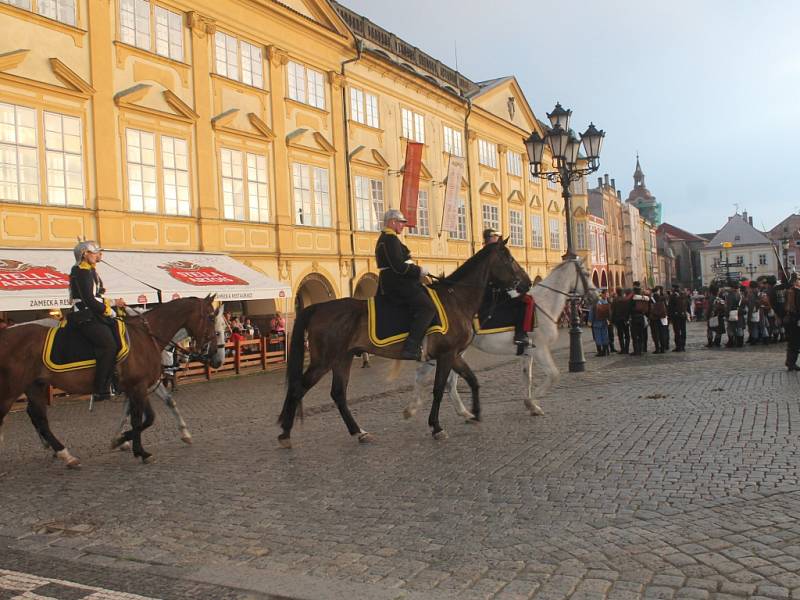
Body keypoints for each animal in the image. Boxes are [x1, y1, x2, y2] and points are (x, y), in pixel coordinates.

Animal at [0, 294, 219, 464]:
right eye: (211, 317)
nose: (214, 355)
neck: (146, 336)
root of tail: (6, 334)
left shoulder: (138, 387)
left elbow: (146, 418)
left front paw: (124, 441)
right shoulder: (138, 387)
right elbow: (141, 419)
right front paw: (134, 447)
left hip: (35, 385)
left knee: (39, 417)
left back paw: (63, 453)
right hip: (12, 389)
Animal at [278, 238, 536, 446]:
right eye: (509, 258)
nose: (527, 283)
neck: (456, 299)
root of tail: (319, 307)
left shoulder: (454, 355)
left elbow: (473, 380)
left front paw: (475, 413)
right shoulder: (446, 355)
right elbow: (438, 389)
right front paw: (436, 426)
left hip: (343, 358)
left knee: (338, 394)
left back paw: (359, 432)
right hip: (325, 360)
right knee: (299, 388)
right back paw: (285, 433)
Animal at [406, 258, 592, 422]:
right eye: (587, 274)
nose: (594, 296)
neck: (543, 304)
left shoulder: (528, 352)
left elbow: (527, 377)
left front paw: (531, 404)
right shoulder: (540, 349)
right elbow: (554, 375)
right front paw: (533, 401)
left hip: (449, 352)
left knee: (432, 377)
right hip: (451, 351)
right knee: (440, 380)